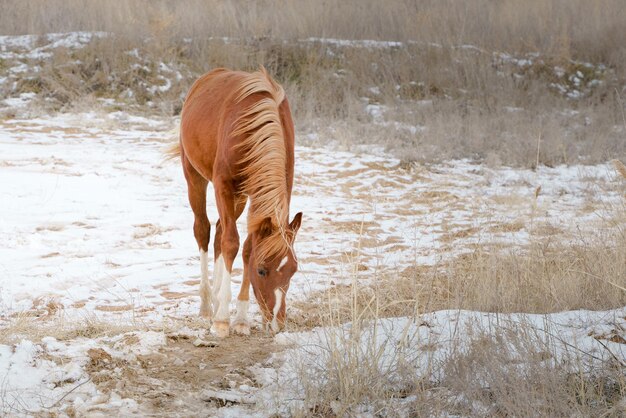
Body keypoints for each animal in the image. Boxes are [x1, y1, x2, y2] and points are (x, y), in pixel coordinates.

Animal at [166, 67, 302, 338]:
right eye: (262, 270)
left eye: (293, 270)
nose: (278, 323)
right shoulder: (224, 187)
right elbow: (231, 244)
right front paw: (221, 321)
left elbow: (247, 248)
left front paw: (240, 318)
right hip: (195, 177)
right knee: (204, 230)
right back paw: (207, 305)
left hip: (239, 199)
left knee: (219, 231)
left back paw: (219, 296)